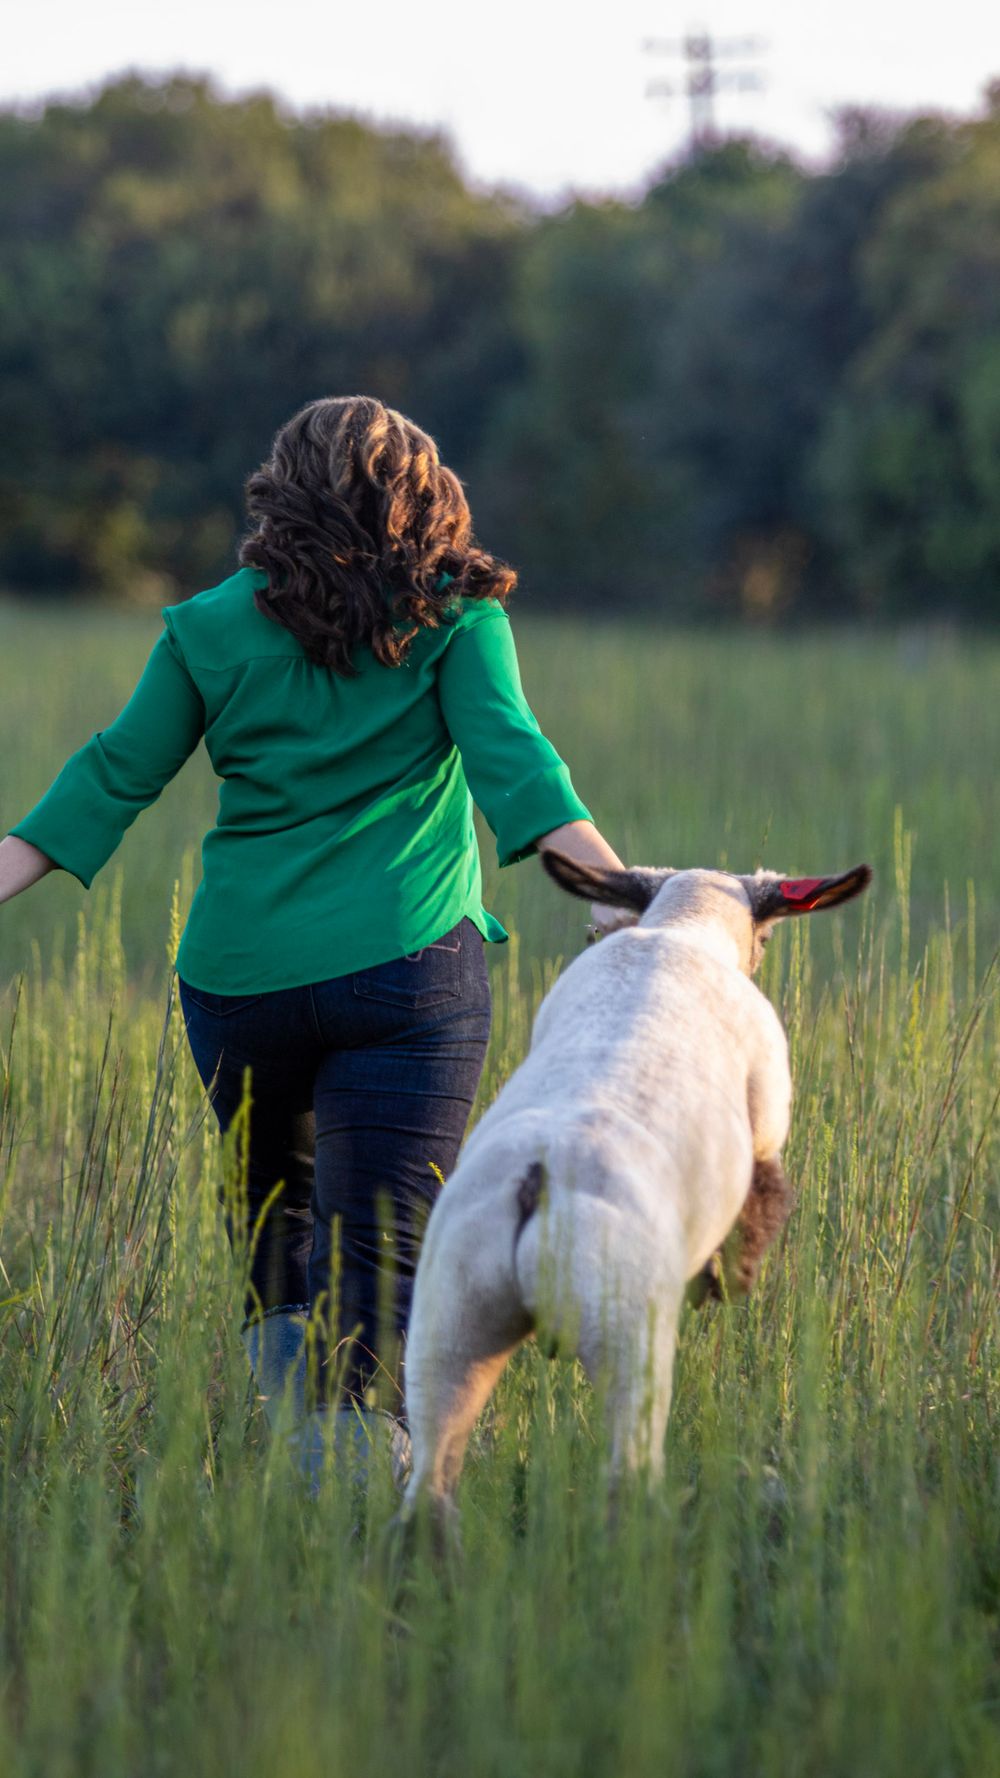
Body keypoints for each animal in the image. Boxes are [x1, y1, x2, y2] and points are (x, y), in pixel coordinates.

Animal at [398, 851, 871, 1534]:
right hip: (628, 1336)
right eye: (765, 938)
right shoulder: (765, 1123)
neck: (682, 930)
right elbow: (761, 1209)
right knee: (629, 1475)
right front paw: (727, 1282)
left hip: (449, 1325)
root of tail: (537, 1184)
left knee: (429, 1492)